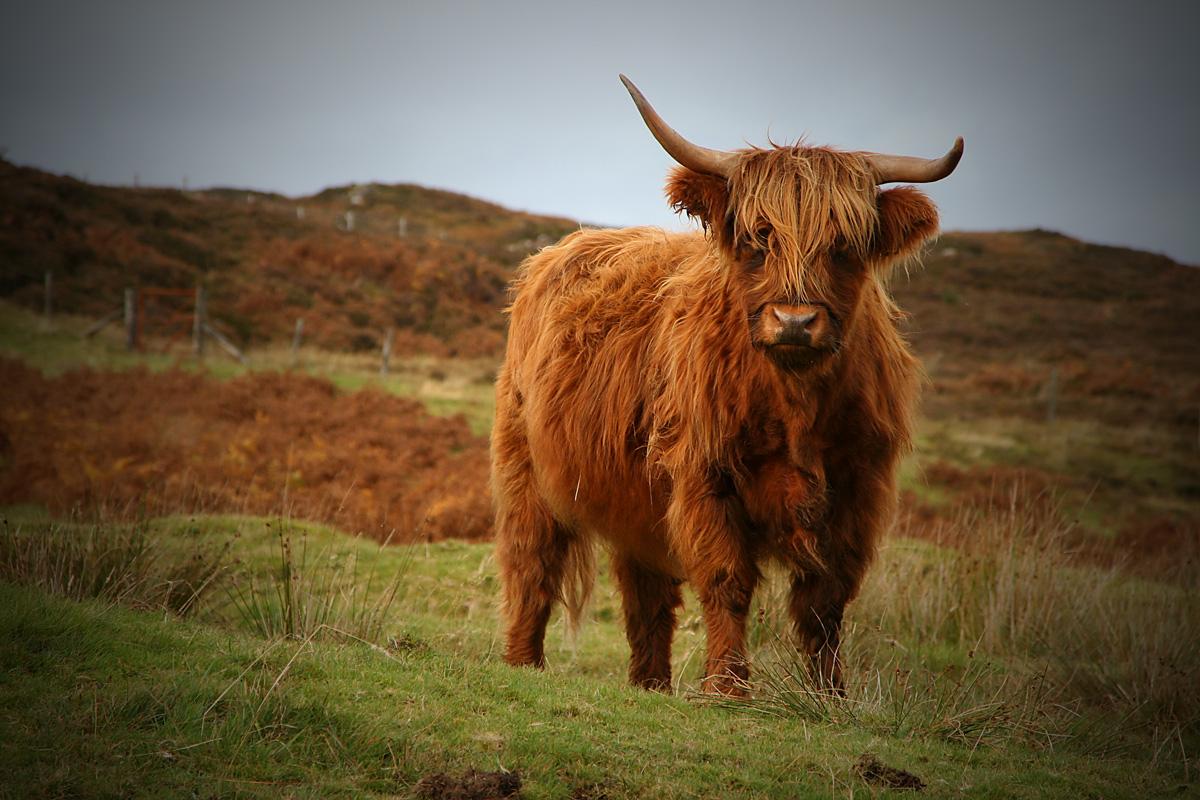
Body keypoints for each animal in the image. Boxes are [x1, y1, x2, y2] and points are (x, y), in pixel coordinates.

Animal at [492, 75, 962, 695]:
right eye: (758, 237)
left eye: (843, 243)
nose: (794, 321)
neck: (796, 404)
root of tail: (556, 253)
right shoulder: (705, 475)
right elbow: (726, 581)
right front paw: (727, 688)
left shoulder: (859, 488)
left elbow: (825, 602)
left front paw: (829, 694)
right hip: (526, 468)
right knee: (533, 565)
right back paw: (522, 663)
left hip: (636, 496)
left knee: (645, 591)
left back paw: (650, 684)